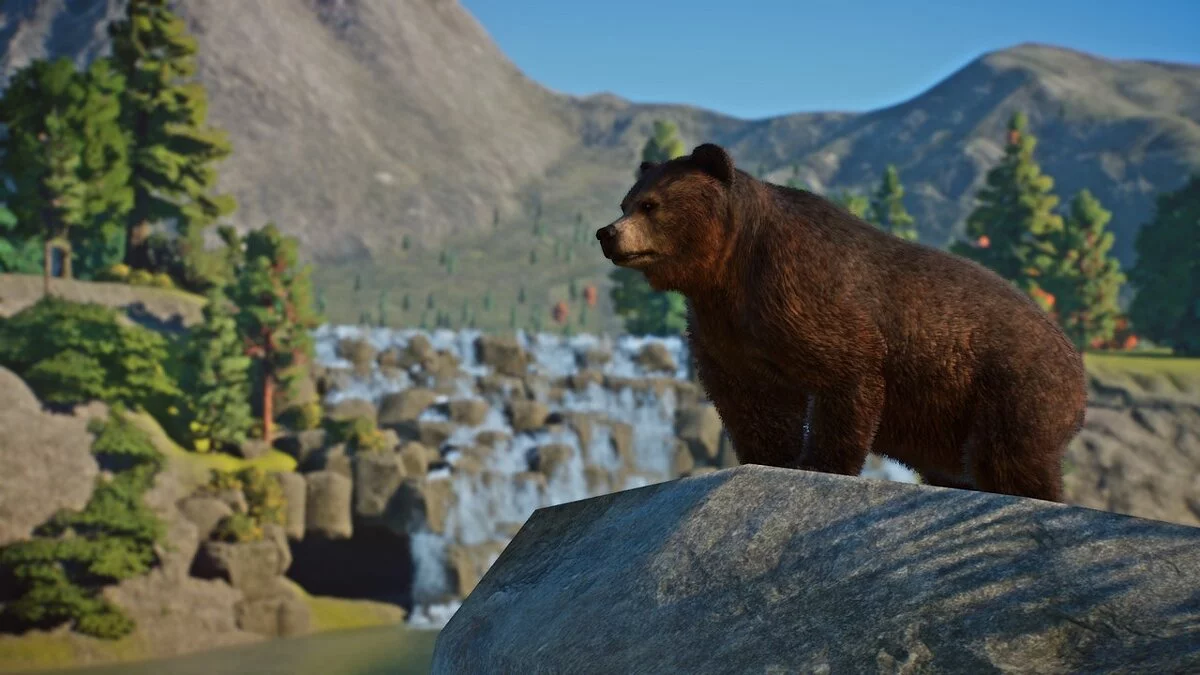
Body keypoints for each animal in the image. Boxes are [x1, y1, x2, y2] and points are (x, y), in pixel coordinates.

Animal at [596, 143, 1087, 502]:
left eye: (651, 205)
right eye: (625, 201)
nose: (607, 233)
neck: (729, 270)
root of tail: (1074, 358)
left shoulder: (805, 296)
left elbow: (846, 373)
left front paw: (821, 464)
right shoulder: (727, 332)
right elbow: (750, 400)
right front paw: (768, 457)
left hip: (1010, 385)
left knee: (1008, 458)